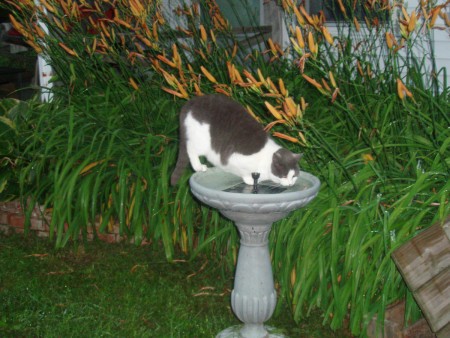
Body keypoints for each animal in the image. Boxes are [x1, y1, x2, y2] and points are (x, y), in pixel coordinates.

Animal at [169, 93, 302, 186]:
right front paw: (251, 181)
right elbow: (245, 174)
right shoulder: (234, 159)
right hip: (201, 140)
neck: (267, 161)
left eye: (294, 176)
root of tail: (192, 101)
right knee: (190, 149)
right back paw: (199, 167)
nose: (290, 183)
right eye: (284, 176)